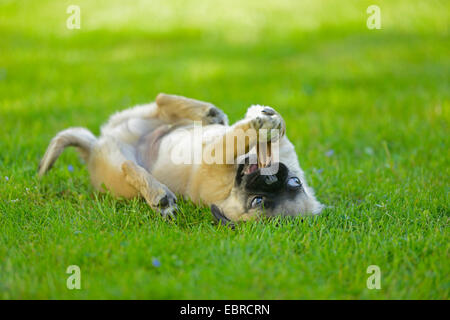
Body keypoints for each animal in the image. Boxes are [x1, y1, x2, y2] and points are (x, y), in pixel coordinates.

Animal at [37, 93, 320, 225]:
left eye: (258, 201)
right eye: (295, 182)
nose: (272, 178)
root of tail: (96, 145)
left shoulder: (214, 159)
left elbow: (234, 139)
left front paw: (259, 123)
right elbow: (271, 131)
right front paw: (265, 118)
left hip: (117, 172)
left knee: (129, 166)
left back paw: (159, 196)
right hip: (146, 118)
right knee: (161, 101)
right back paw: (210, 113)